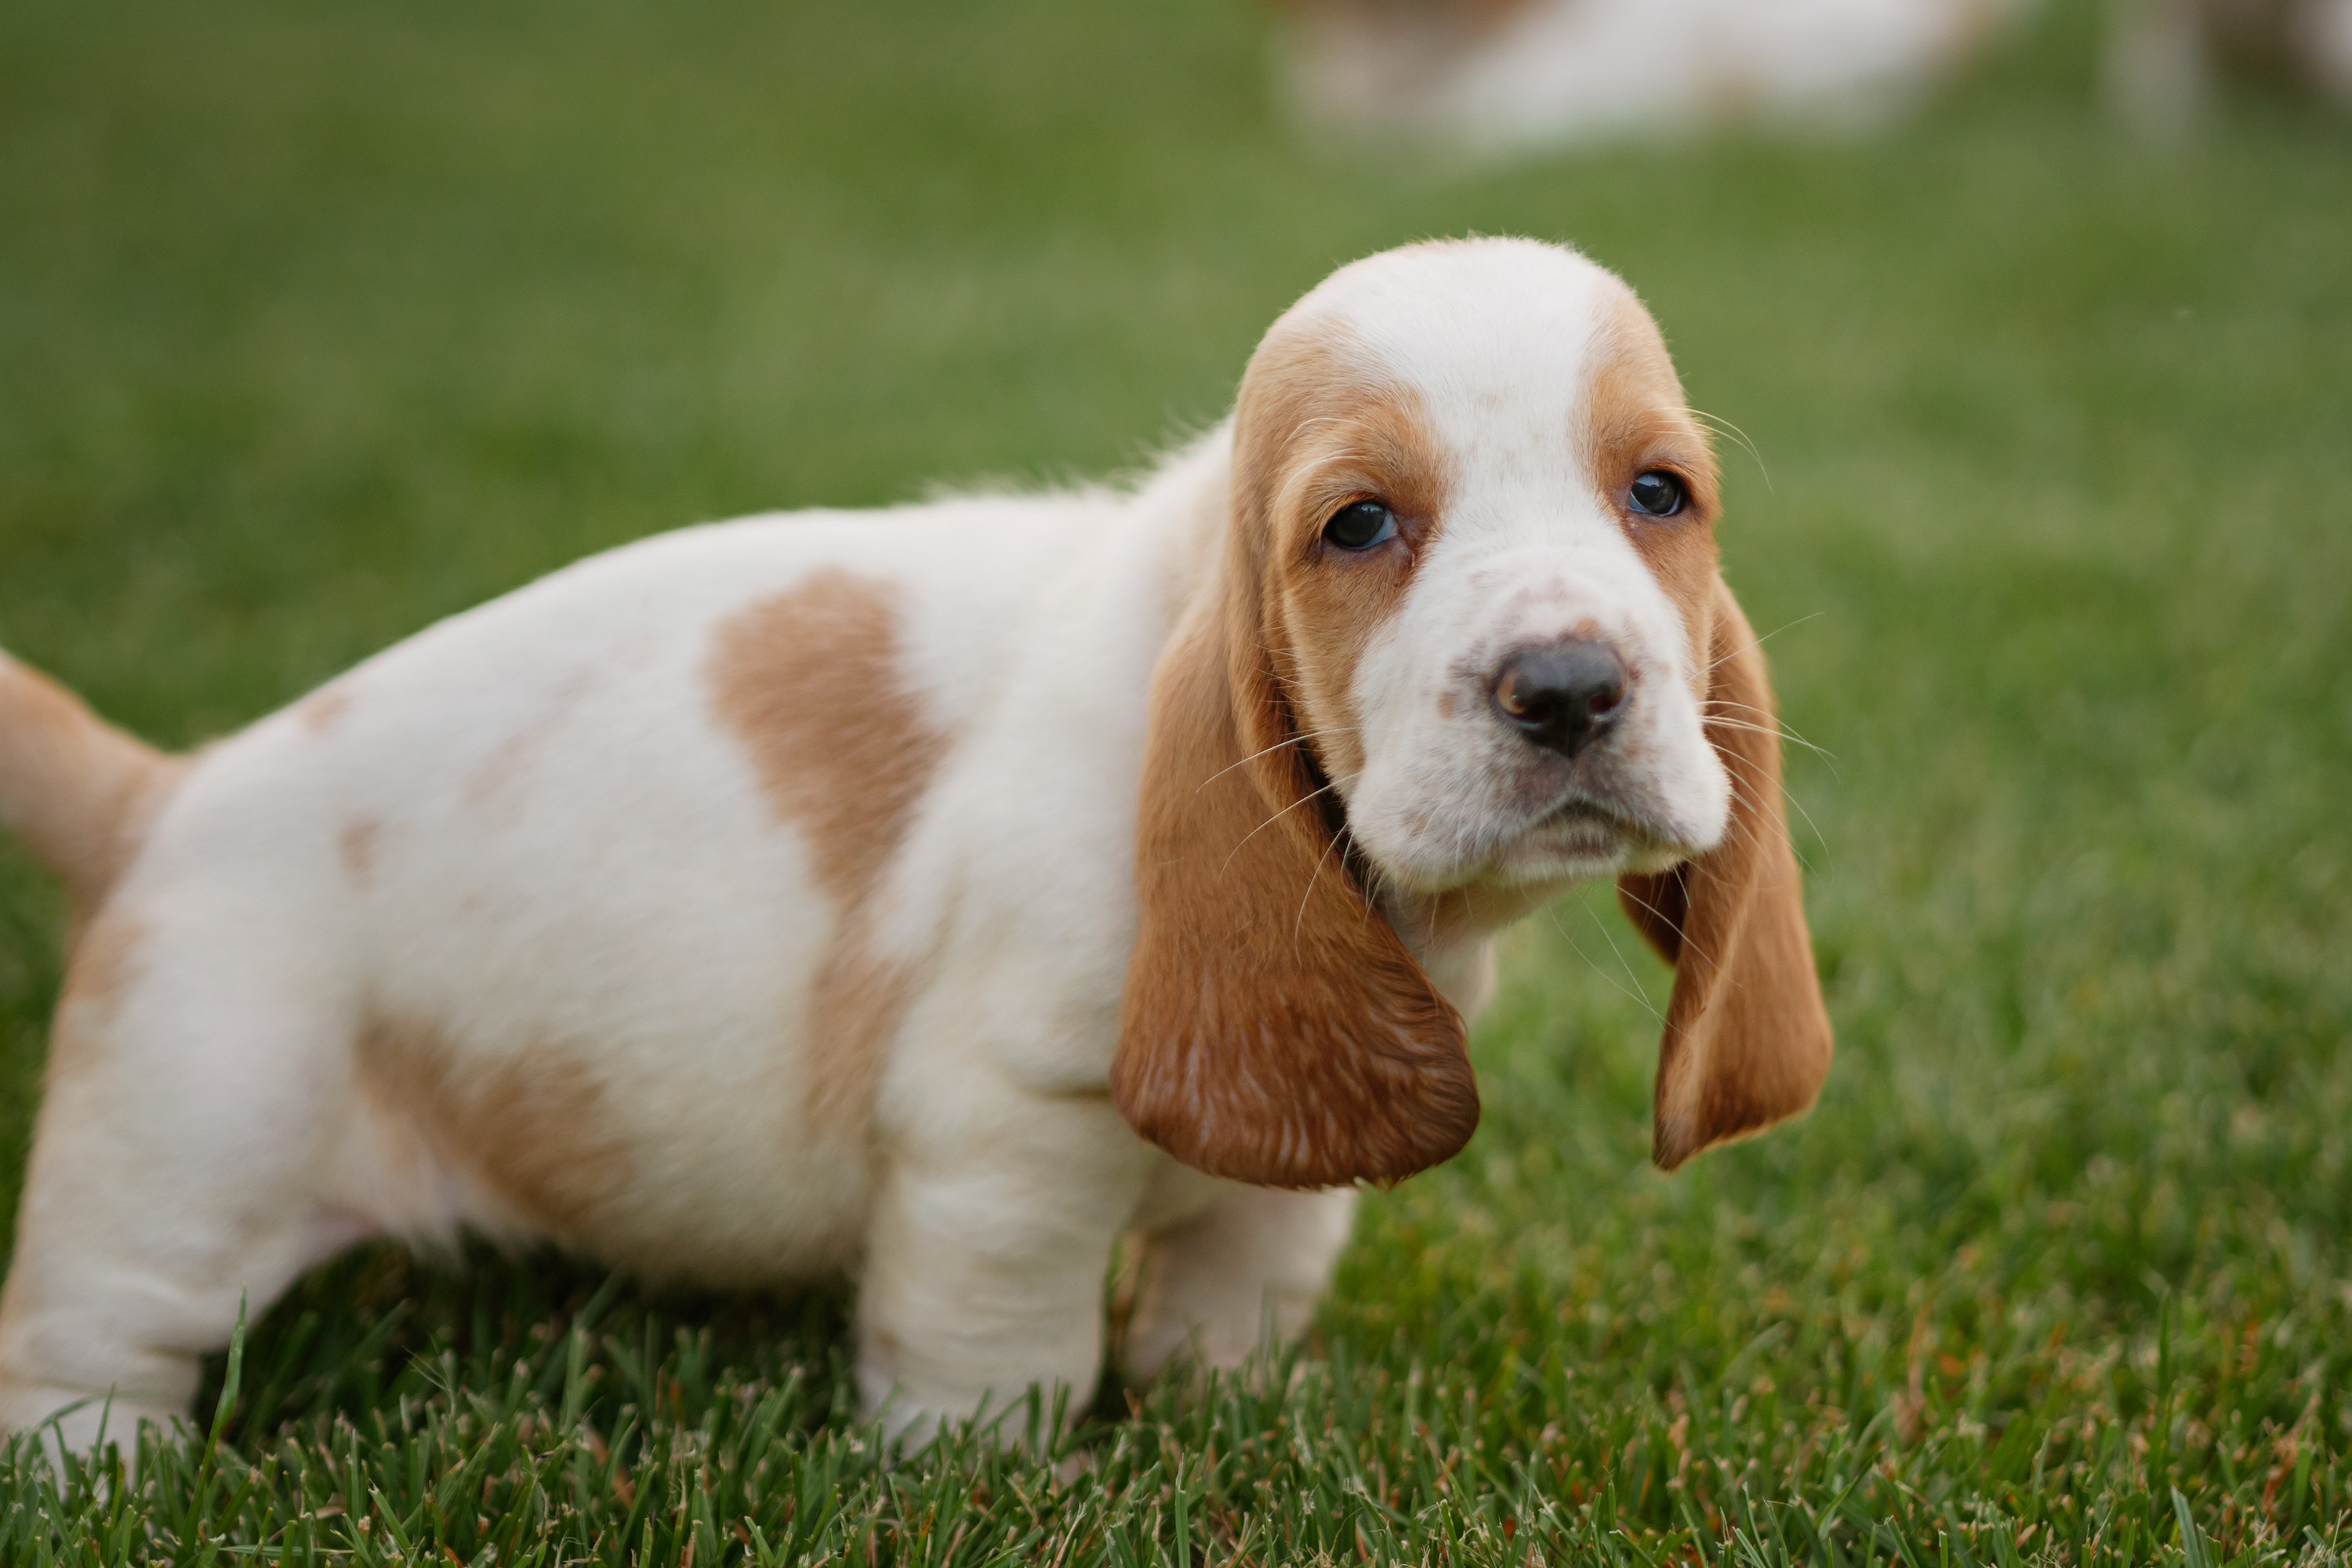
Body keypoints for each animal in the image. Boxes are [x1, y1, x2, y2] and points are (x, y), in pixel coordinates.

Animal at [0, 239, 1835, 1457]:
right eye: (1359, 525)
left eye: (1659, 494)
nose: (1573, 686)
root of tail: (165, 793)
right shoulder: (1006, 1129)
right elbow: (998, 1348)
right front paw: (979, 1479)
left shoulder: (1284, 1179)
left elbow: (1238, 1285)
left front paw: (1234, 1417)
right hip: (189, 1146)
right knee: (83, 1352)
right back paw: (104, 1479)